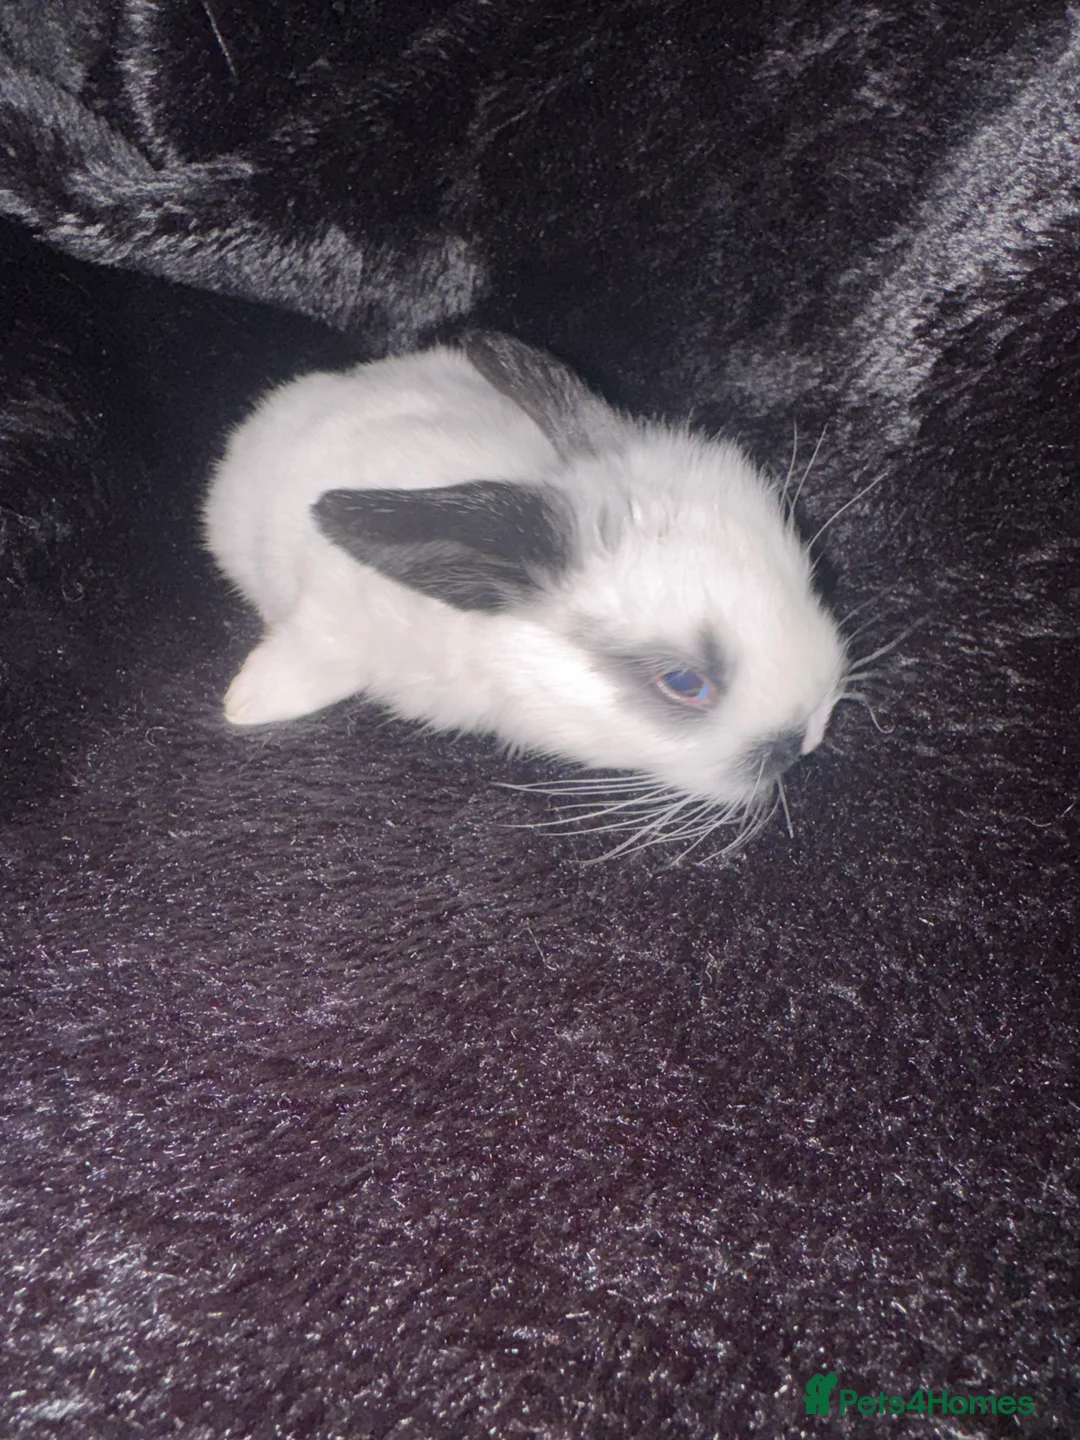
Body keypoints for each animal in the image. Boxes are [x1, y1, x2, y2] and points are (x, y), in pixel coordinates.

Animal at [203, 331, 848, 855]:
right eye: (685, 684)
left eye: (807, 577)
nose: (810, 735)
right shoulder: (334, 619)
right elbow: (313, 651)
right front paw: (248, 703)